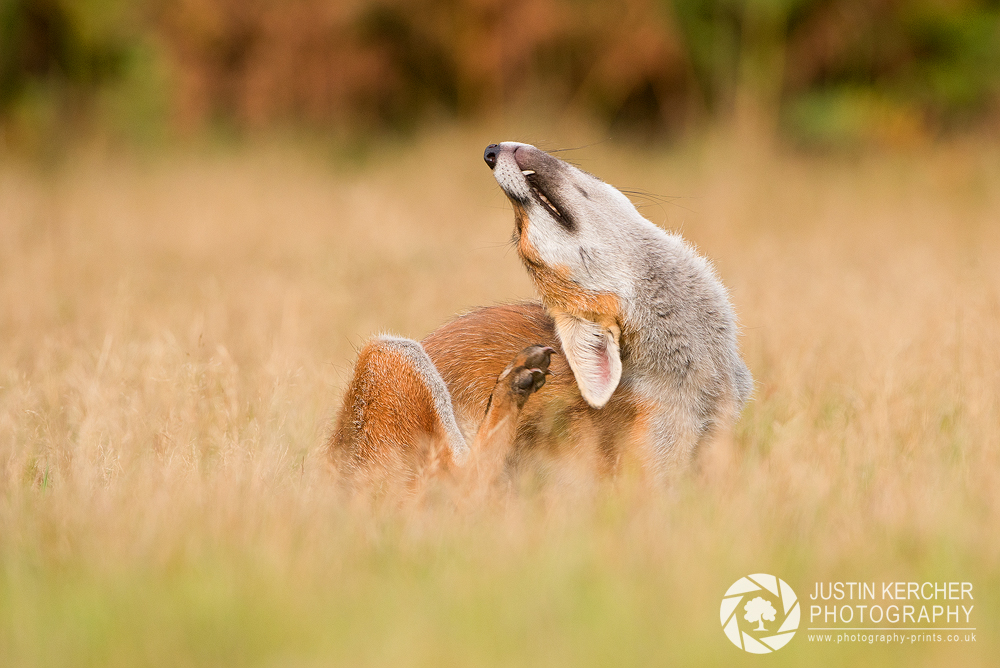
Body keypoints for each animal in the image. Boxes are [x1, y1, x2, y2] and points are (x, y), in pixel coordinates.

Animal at [328, 142, 752, 486]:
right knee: (463, 486)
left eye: (521, 234)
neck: (703, 373)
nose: (490, 152)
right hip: (392, 352)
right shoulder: (642, 479)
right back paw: (510, 389)